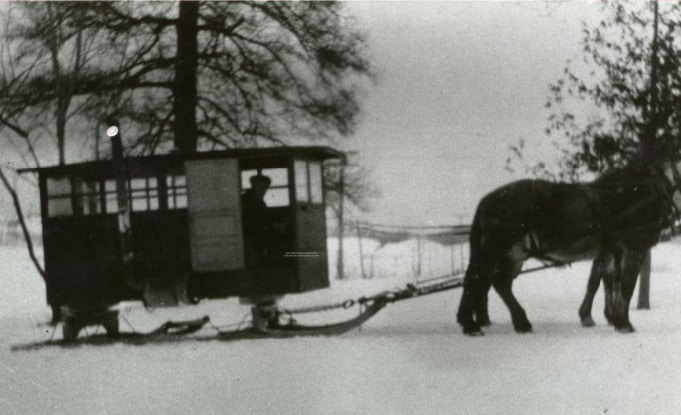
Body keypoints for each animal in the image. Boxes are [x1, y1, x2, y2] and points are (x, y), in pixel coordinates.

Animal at [454, 164, 672, 336]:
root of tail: (486, 201)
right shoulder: (633, 248)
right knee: (477, 280)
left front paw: (612, 318)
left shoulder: (612, 250)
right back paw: (471, 324)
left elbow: (608, 282)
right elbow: (625, 285)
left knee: (498, 283)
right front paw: (623, 323)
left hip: (513, 253)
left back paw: (519, 322)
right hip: (495, 249)